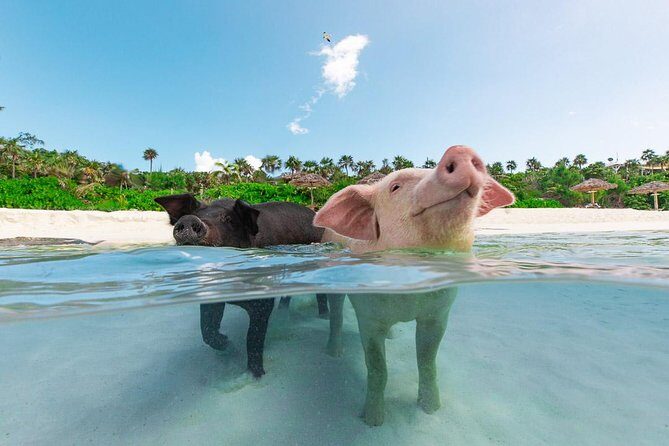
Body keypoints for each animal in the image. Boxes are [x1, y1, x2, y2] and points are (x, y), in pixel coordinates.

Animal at [155, 194, 327, 377]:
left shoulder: (262, 301)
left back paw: (323, 317)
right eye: (195, 214)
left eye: (227, 219)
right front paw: (227, 343)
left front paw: (257, 374)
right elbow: (207, 329)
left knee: (321, 294)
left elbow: (253, 338)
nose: (189, 219)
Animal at [315, 145, 515, 425]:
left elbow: (427, 361)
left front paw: (431, 409)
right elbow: (377, 367)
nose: (459, 149)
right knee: (336, 315)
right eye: (395, 187)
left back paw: (392, 336)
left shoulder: (438, 313)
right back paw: (334, 352)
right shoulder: (368, 317)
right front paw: (372, 420)